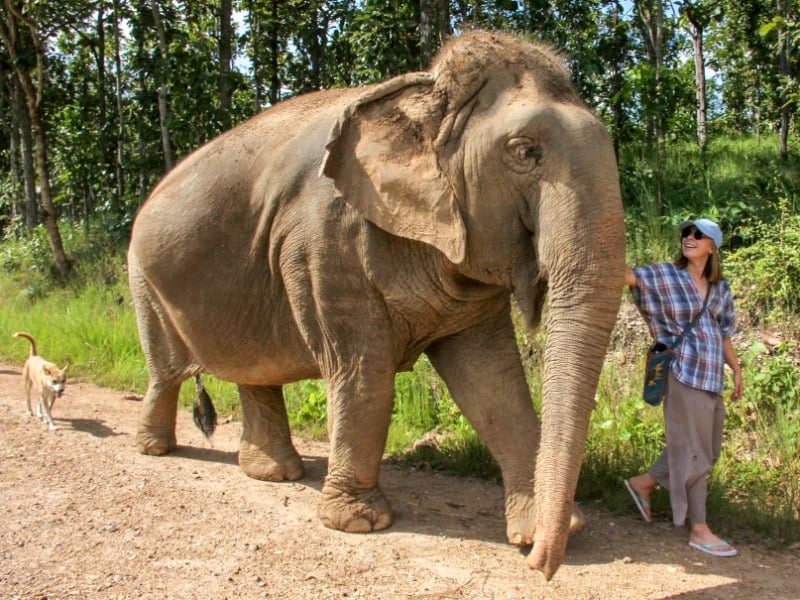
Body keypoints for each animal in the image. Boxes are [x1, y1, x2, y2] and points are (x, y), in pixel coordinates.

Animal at [127, 30, 625, 579]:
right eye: (524, 151)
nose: (543, 568)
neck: (424, 95)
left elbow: (491, 379)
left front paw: (543, 532)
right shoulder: (323, 242)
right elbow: (364, 370)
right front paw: (358, 523)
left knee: (255, 371)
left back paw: (274, 473)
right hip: (143, 277)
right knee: (166, 369)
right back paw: (156, 449)